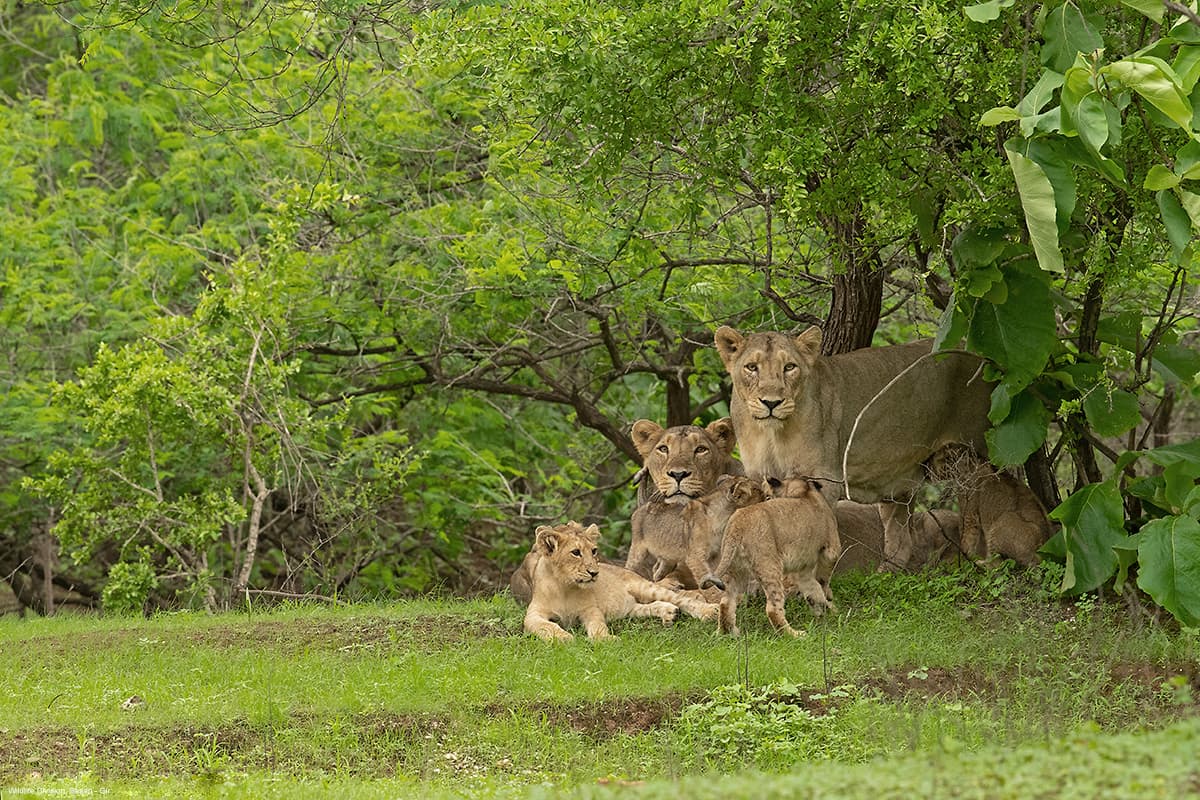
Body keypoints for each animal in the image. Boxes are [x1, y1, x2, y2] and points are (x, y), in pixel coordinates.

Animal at [523, 521, 720, 642]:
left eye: (593, 551)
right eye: (576, 552)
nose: (594, 573)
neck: (564, 586)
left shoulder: (590, 610)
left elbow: (597, 625)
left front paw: (605, 639)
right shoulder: (533, 614)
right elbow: (545, 625)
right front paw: (563, 638)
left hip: (644, 587)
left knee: (681, 599)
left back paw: (710, 611)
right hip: (629, 609)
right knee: (650, 605)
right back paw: (669, 613)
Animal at [701, 477, 840, 637]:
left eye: (767, 494)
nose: (765, 498)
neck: (804, 491)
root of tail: (737, 524)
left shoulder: (802, 569)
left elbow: (813, 589)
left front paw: (825, 613)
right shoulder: (832, 550)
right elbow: (822, 581)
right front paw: (829, 606)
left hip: (736, 569)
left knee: (725, 602)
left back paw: (728, 633)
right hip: (769, 567)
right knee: (773, 608)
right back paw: (794, 634)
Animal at [714, 325, 992, 570]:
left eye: (789, 367)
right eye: (752, 367)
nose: (771, 403)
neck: (770, 434)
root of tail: (980, 354)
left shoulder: (823, 481)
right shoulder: (758, 478)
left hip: (981, 449)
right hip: (902, 483)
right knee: (901, 539)